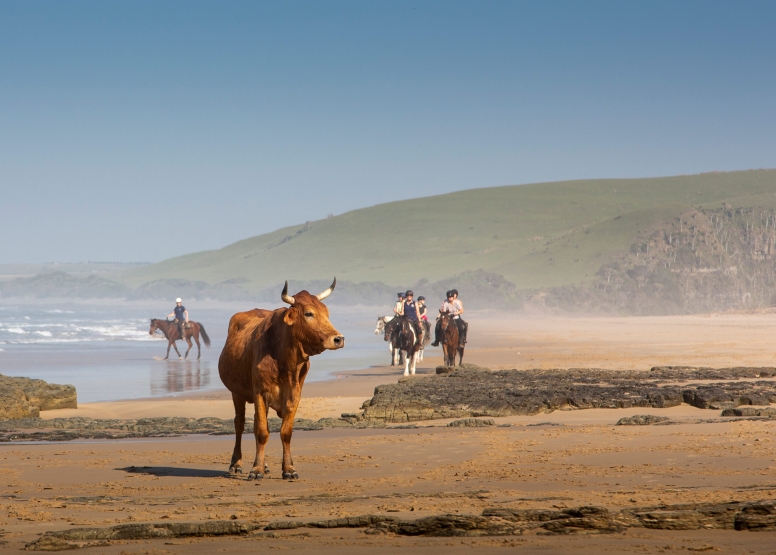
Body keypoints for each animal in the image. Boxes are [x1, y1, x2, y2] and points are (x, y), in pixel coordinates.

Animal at [217, 280, 342, 480]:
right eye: (308, 313)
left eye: (326, 312)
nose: (338, 339)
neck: (286, 362)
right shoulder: (260, 393)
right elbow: (261, 431)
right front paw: (256, 470)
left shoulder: (295, 395)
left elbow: (285, 432)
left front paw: (288, 468)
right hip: (237, 393)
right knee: (240, 423)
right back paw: (236, 464)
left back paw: (265, 465)